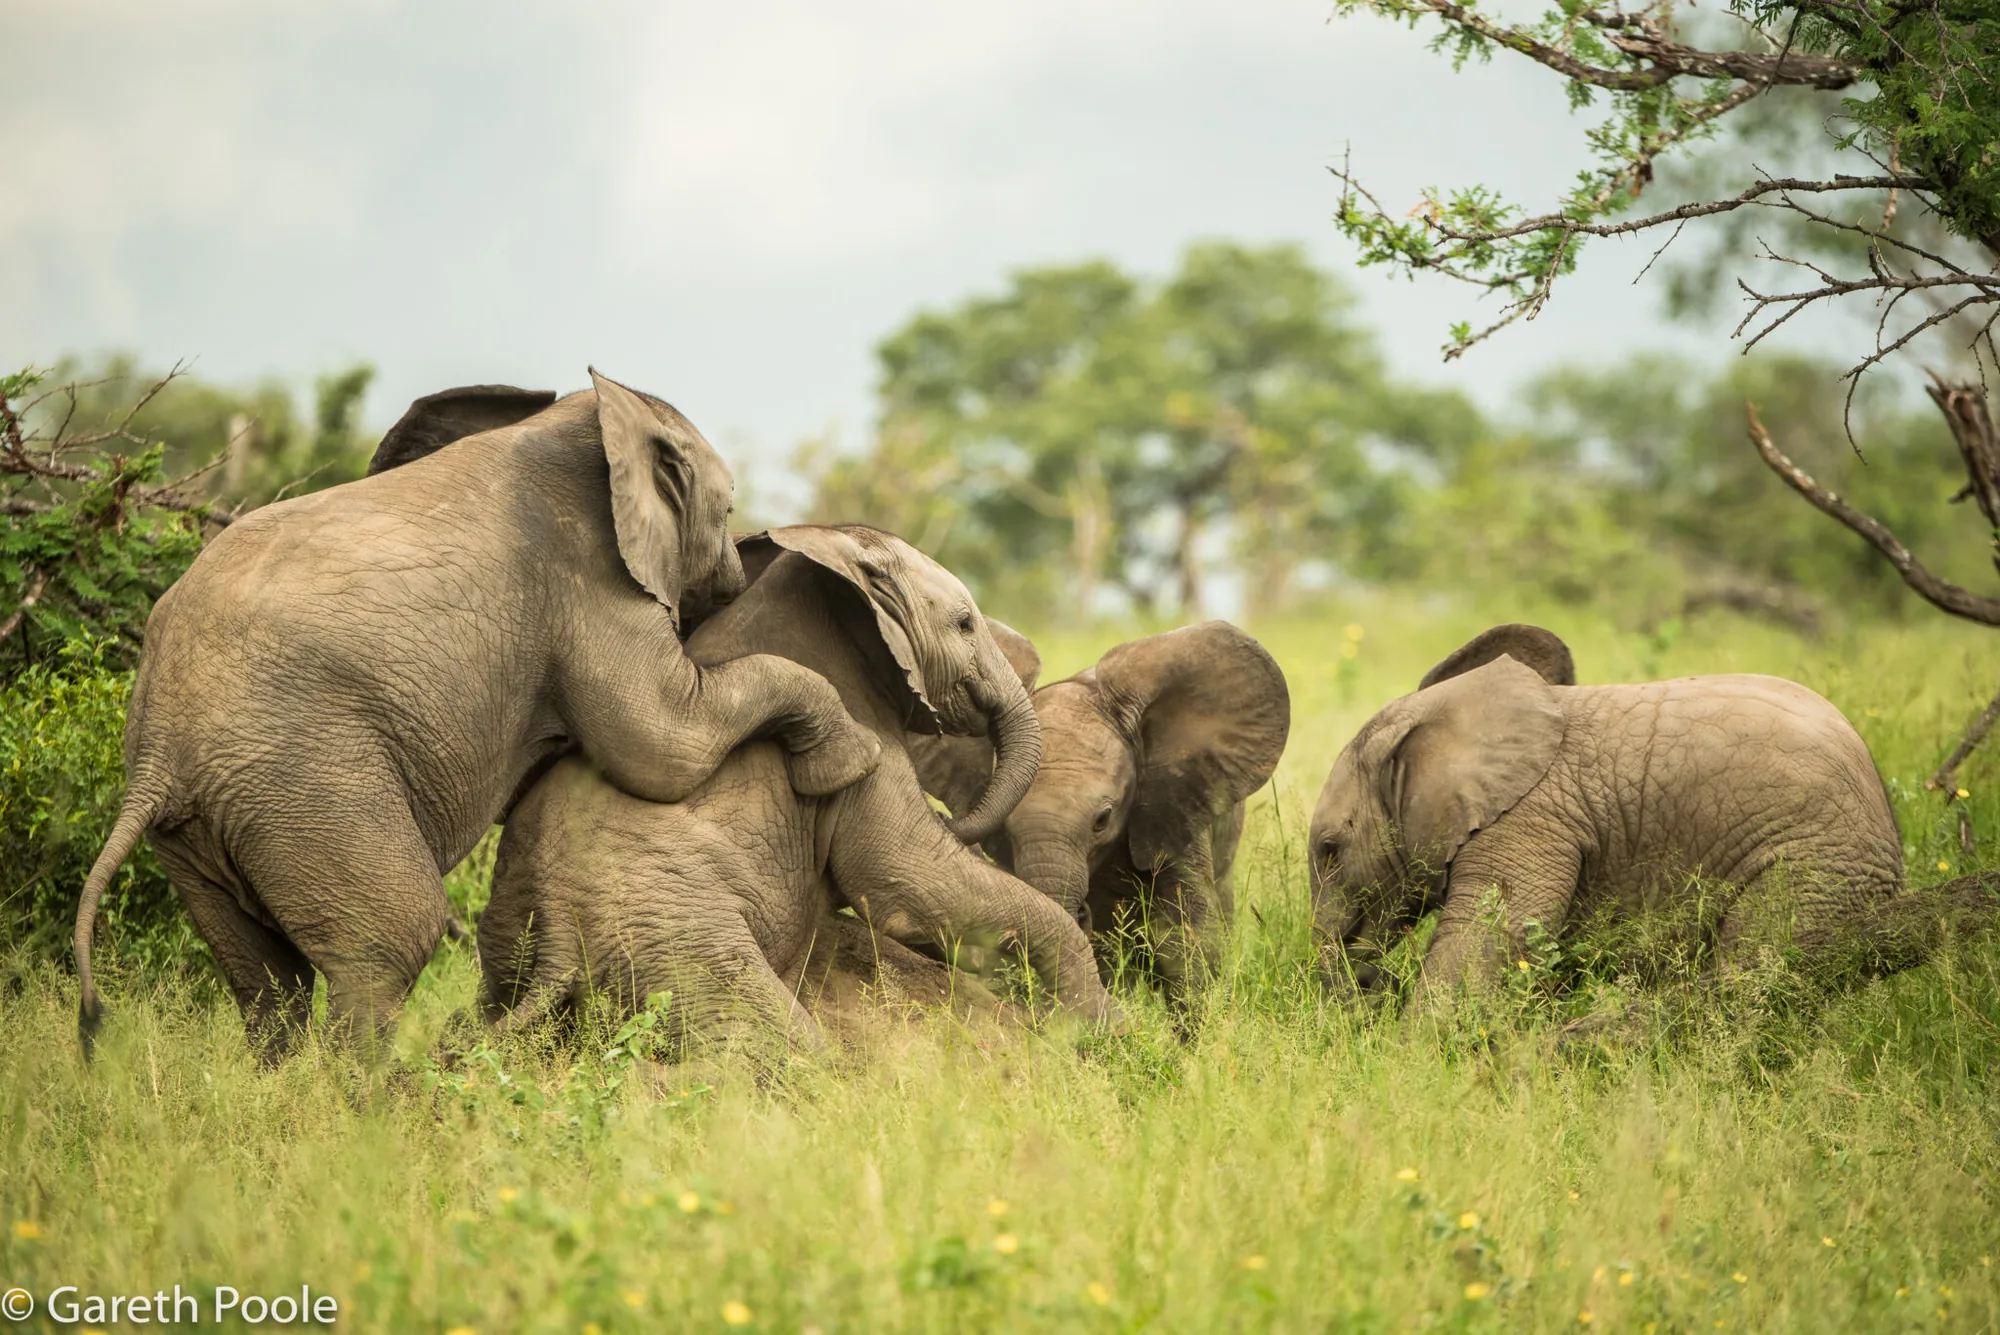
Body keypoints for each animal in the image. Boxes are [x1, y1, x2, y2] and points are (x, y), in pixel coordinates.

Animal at [73, 373, 882, 1053]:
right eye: (730, 507)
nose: (741, 567)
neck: (592, 420)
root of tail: (156, 759)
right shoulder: (587, 583)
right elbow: (665, 744)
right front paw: (856, 756)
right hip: (304, 779)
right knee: (390, 941)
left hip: (205, 830)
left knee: (267, 981)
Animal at [477, 524, 1114, 1052]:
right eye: (964, 624)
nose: (952, 818)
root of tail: (557, 945)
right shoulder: (864, 737)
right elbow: (917, 886)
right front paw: (1099, 1029)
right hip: (677, 939)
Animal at [1307, 623, 1907, 1009]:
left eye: (1330, 850)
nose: (1372, 982)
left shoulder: (1529, 817)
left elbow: (1494, 935)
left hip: (1813, 867)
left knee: (1755, 966)